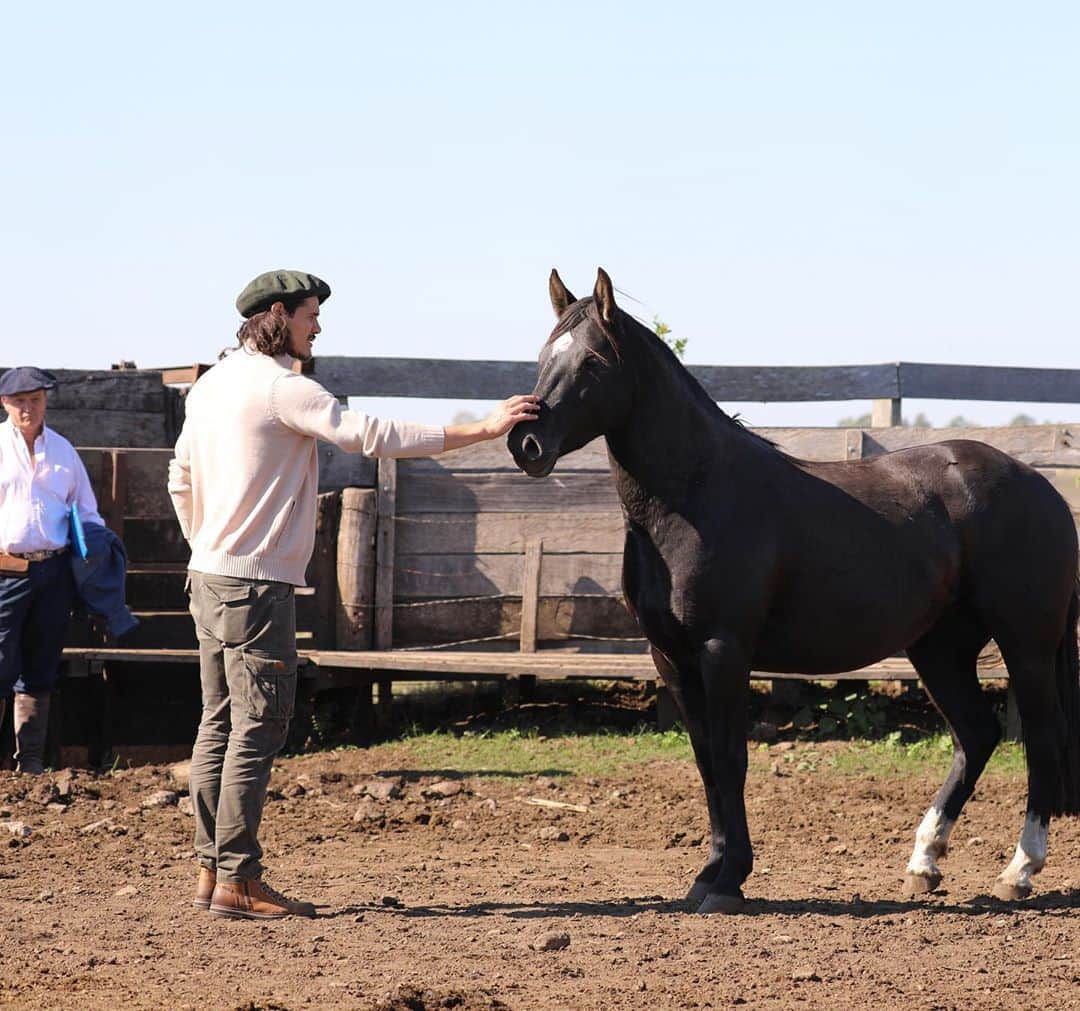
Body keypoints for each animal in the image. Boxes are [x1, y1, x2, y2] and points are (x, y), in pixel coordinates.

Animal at [507, 268, 1080, 915]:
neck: (695, 495)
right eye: (543, 356)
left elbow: (731, 759)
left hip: (1026, 646)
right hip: (938, 647)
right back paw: (924, 861)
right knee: (976, 735)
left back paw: (1020, 870)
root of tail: (1040, 486)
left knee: (1040, 739)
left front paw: (728, 881)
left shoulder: (723, 651)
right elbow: (707, 763)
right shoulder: (671, 658)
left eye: (592, 362)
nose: (526, 444)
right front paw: (708, 874)